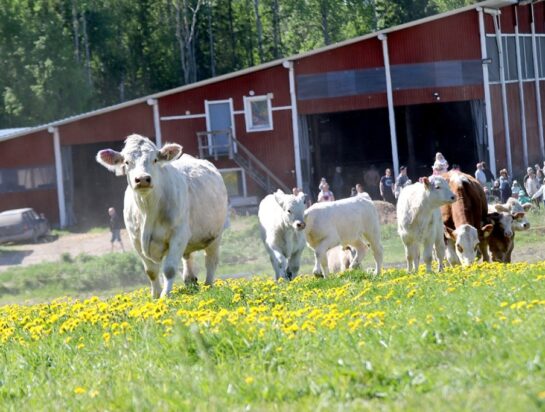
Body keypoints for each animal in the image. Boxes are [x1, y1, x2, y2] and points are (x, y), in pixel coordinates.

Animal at [95, 134, 227, 298]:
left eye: (155, 159)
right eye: (127, 162)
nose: (142, 179)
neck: (148, 211)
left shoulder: (179, 234)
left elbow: (169, 269)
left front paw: (165, 296)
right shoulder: (136, 240)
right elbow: (151, 271)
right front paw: (155, 296)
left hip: (216, 235)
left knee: (210, 261)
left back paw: (208, 286)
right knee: (188, 258)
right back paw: (190, 281)